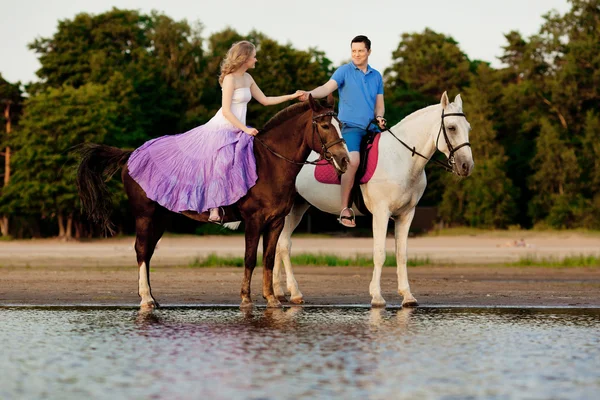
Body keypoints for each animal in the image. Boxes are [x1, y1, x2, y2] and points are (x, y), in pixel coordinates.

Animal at [77, 94, 350, 310]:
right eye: (324, 125)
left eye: (341, 125)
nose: (344, 160)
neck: (270, 164)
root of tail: (131, 155)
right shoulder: (254, 221)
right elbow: (249, 258)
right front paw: (246, 299)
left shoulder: (275, 222)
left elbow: (269, 258)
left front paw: (272, 299)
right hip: (145, 216)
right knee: (142, 251)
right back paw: (145, 299)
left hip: (161, 218)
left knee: (150, 251)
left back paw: (153, 298)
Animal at [274, 93, 476, 306]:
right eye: (452, 127)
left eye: (468, 128)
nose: (466, 166)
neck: (401, 157)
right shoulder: (381, 213)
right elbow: (380, 254)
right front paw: (377, 296)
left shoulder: (406, 214)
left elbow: (401, 254)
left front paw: (407, 296)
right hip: (290, 209)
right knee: (284, 245)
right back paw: (295, 292)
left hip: (298, 207)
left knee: (279, 244)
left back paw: (278, 292)